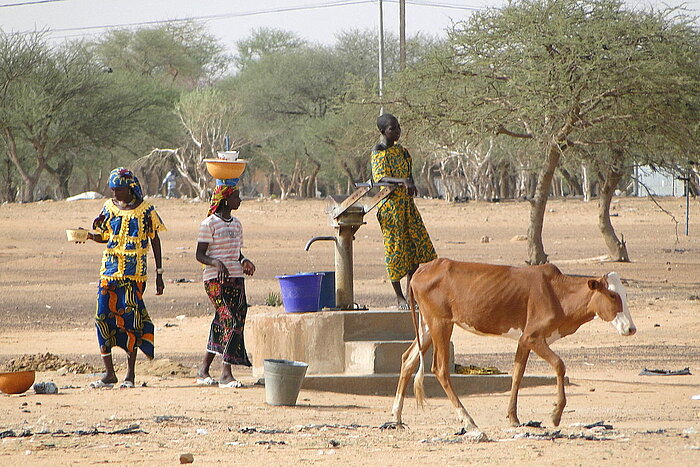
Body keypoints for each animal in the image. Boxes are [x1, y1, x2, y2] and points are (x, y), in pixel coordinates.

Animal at [392, 260, 636, 432]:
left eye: (624, 294)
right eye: (612, 295)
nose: (631, 328)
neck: (558, 294)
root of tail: (421, 270)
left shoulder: (523, 340)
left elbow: (517, 374)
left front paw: (513, 417)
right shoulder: (534, 337)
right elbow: (559, 365)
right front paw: (556, 414)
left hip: (426, 327)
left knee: (407, 360)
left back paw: (397, 417)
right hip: (441, 323)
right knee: (440, 369)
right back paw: (467, 420)